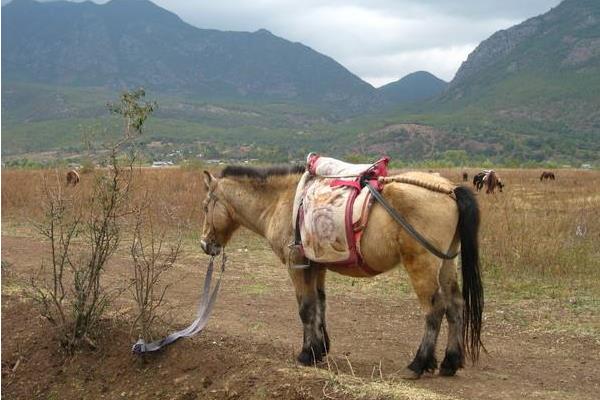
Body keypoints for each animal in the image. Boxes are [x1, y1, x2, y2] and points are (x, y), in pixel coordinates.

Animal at [199, 165, 486, 378]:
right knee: (455, 306)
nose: (204, 244)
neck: (281, 202)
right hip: (447, 263)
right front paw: (320, 349)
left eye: (205, 206)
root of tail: (449, 190)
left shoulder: (296, 265)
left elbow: (305, 308)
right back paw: (450, 362)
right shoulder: (316, 265)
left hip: (422, 265)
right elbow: (319, 305)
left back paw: (419, 363)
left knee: (434, 310)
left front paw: (306, 354)